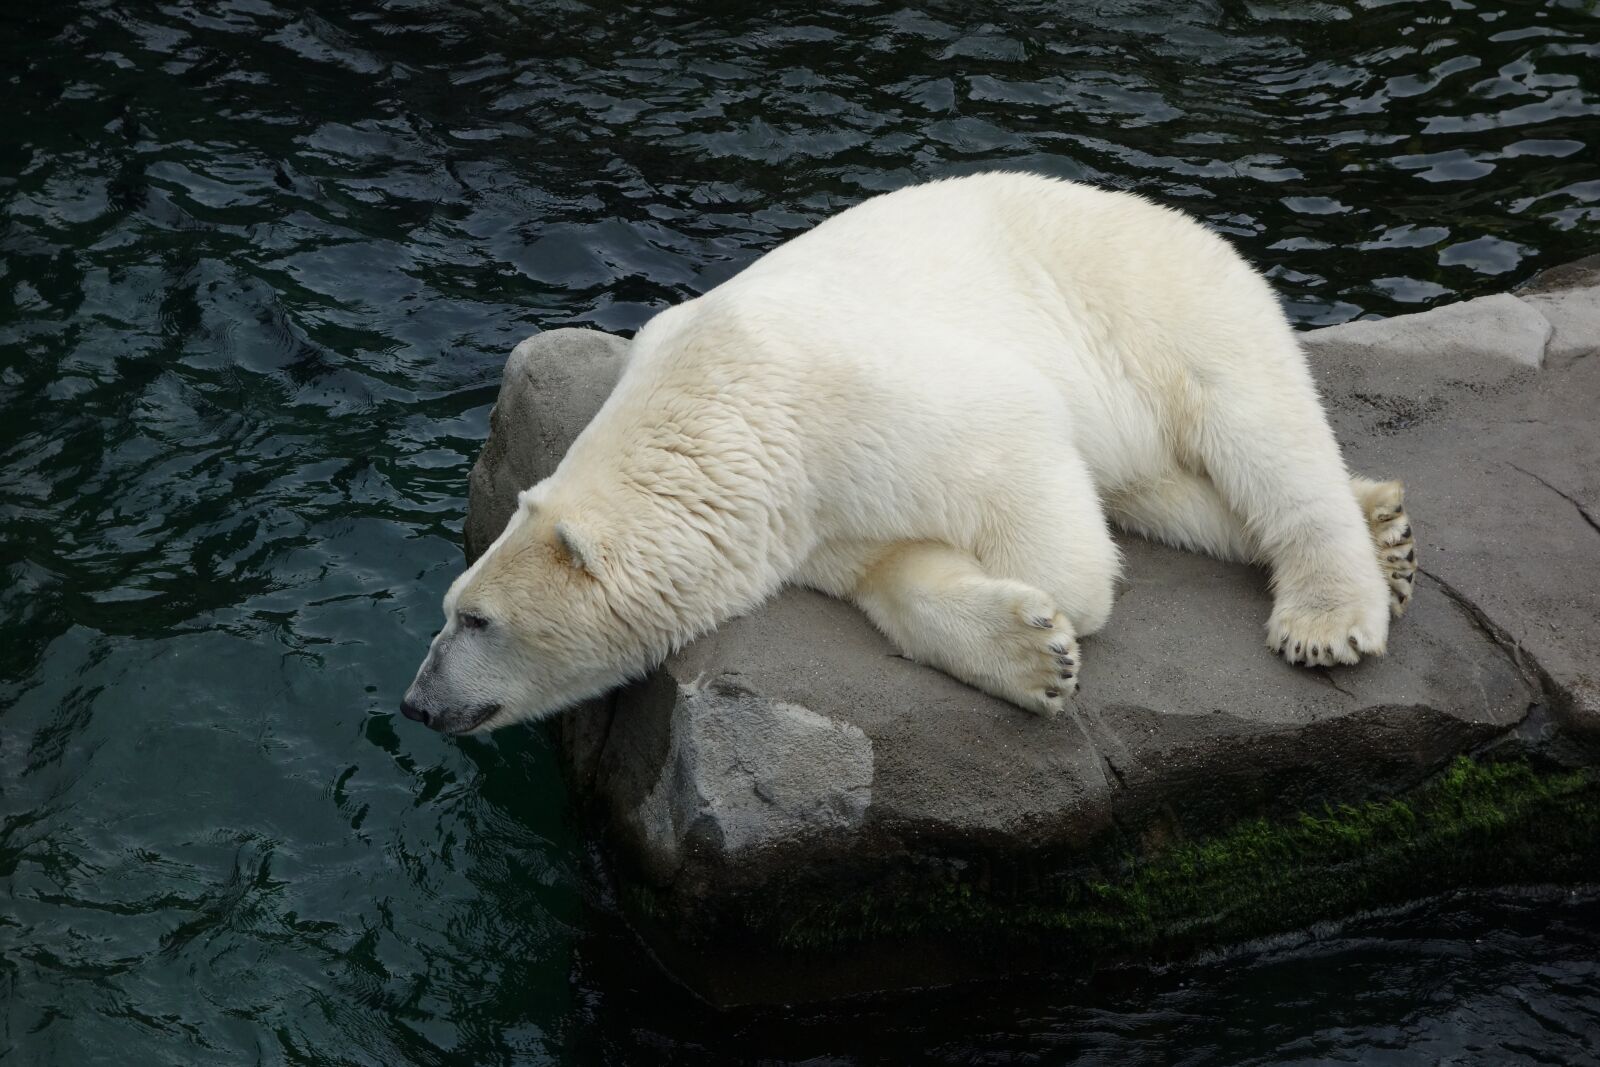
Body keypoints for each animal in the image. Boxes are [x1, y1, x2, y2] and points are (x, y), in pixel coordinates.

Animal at [401, 172, 1417, 735]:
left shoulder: (854, 401)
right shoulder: (800, 513)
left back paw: (1332, 609)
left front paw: (1063, 611)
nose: (416, 701)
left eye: (474, 618)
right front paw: (1028, 654)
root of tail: (1171, 214)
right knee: (1173, 490)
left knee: (1258, 431)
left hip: (1156, 304)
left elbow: (1023, 456)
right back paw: (1386, 526)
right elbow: (887, 570)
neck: (719, 411)